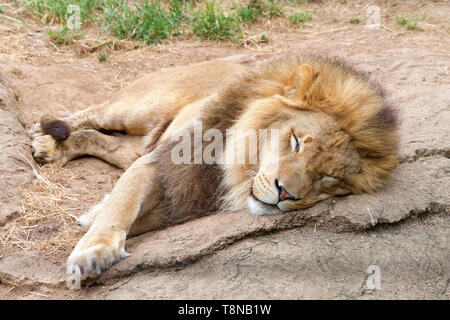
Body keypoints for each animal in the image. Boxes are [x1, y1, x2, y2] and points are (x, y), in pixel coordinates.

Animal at [29, 56, 400, 288]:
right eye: (296, 142)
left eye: (329, 179)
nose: (285, 193)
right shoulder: (158, 163)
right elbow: (121, 204)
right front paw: (92, 252)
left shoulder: (178, 200)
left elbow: (126, 207)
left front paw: (93, 217)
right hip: (136, 108)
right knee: (93, 113)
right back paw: (43, 138)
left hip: (139, 143)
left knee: (98, 138)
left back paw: (55, 148)